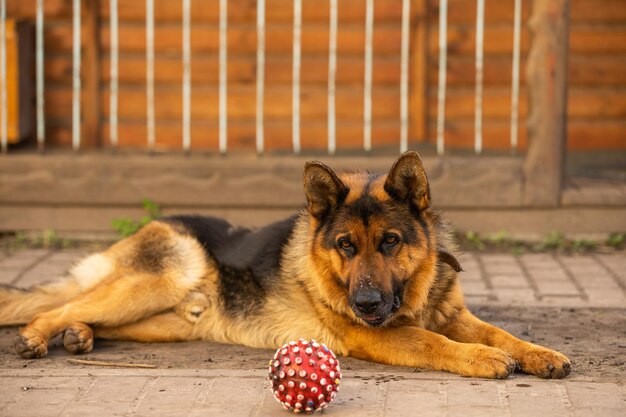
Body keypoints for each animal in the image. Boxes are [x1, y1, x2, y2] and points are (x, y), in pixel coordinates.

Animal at [0, 152, 568, 376]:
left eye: (389, 242)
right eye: (345, 245)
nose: (366, 303)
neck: (414, 289)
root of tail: (153, 225)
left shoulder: (455, 315)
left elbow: (500, 332)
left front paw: (540, 354)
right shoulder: (378, 336)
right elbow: (434, 342)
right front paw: (482, 358)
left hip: (164, 321)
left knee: (90, 314)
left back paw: (80, 336)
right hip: (160, 281)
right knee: (59, 304)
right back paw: (38, 336)